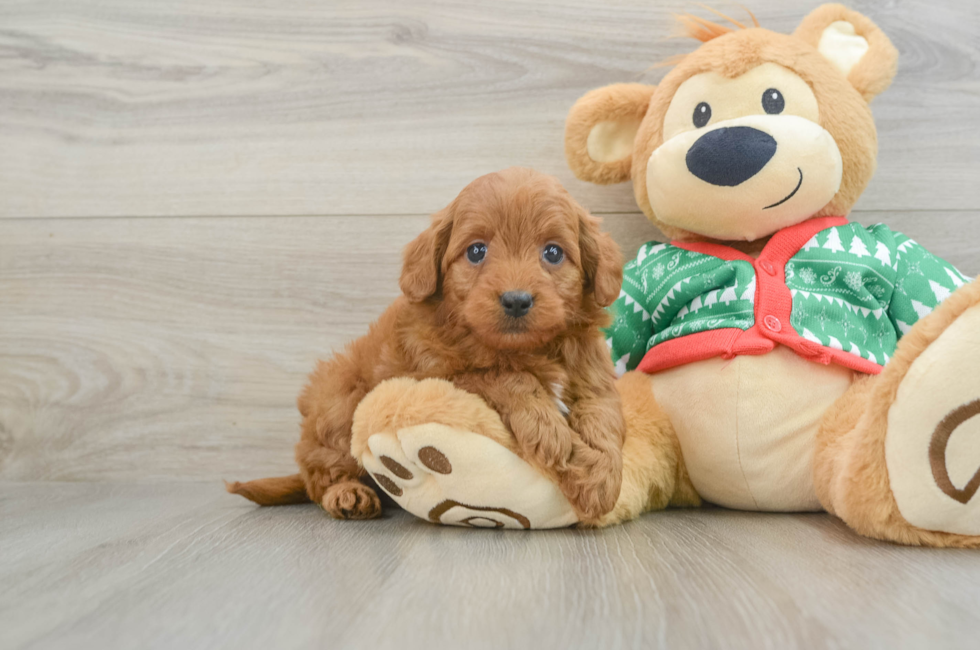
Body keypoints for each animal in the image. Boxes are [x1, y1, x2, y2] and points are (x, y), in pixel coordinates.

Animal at [230, 167, 624, 520]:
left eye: (553, 253)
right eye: (477, 251)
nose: (516, 300)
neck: (521, 348)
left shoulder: (593, 372)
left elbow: (603, 413)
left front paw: (600, 477)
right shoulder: (438, 375)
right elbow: (504, 376)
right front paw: (552, 434)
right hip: (338, 400)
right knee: (320, 475)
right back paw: (347, 494)